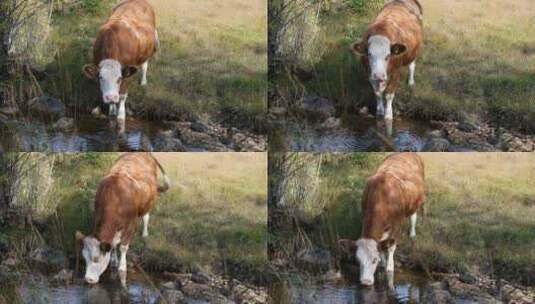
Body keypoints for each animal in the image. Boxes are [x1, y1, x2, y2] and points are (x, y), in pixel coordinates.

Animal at [75, 153, 170, 286]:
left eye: (96, 258)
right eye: (84, 258)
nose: (89, 279)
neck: (115, 197)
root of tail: (143, 153)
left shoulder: (130, 225)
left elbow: (123, 247)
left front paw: (122, 267)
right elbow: (113, 244)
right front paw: (114, 261)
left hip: (149, 201)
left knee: (146, 216)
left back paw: (145, 233)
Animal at [344, 153, 428, 286]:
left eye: (374, 260)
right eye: (358, 260)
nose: (365, 281)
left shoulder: (397, 225)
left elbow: (391, 246)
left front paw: (389, 267)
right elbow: (382, 246)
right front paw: (383, 262)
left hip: (417, 200)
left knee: (413, 215)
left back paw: (412, 233)